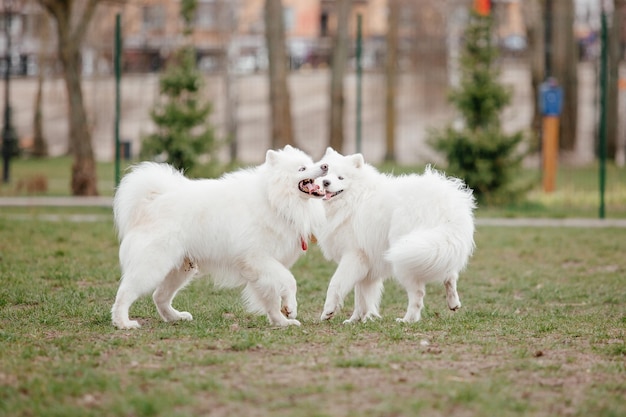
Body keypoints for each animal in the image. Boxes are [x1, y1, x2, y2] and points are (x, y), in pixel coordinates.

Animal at [111, 145, 326, 330]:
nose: (325, 166)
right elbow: (289, 281)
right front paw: (291, 309)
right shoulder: (258, 258)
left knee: (159, 296)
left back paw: (175, 317)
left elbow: (271, 298)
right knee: (125, 293)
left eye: (312, 162)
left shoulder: (265, 267)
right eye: (302, 168)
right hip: (153, 265)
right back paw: (123, 323)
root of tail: (152, 200)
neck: (274, 200)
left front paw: (281, 322)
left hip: (180, 270)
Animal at [314, 148, 476, 324]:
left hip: (406, 255)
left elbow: (336, 283)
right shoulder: (366, 264)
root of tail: (446, 208)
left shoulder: (354, 255)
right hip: (436, 248)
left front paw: (328, 311)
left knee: (417, 293)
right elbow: (361, 297)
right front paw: (356, 319)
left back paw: (407, 320)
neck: (356, 198)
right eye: (325, 173)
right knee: (450, 275)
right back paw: (453, 303)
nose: (325, 182)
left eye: (340, 177)